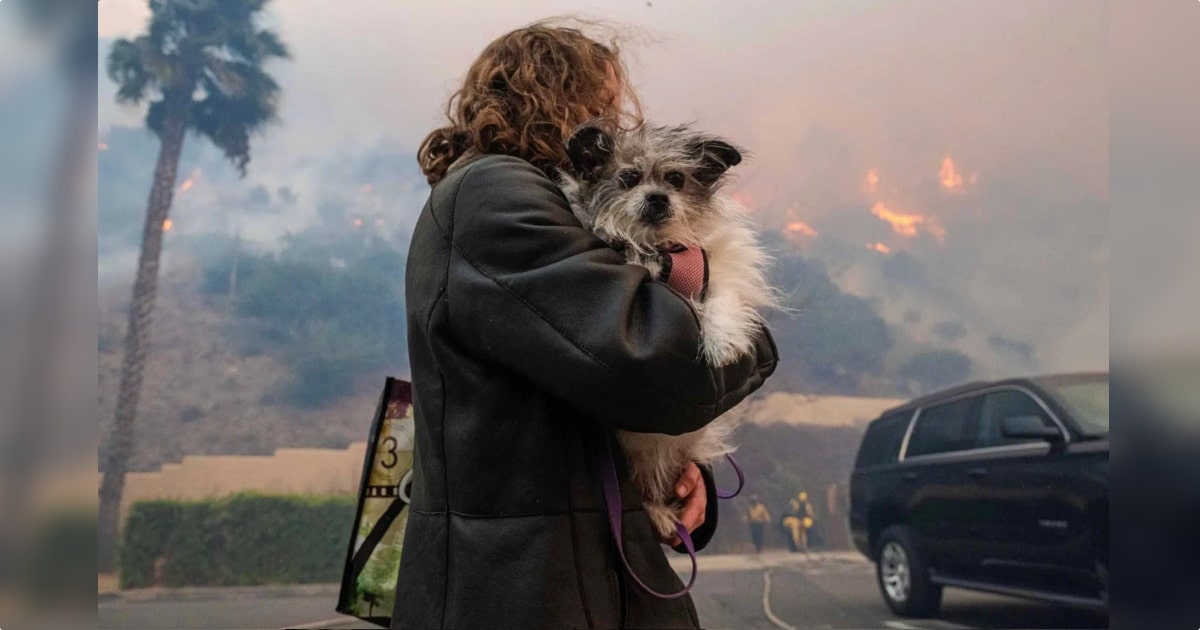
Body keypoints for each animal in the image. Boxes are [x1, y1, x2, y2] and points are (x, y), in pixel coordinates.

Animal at [554, 124, 772, 540]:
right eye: (628, 177)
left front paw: (723, 341)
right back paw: (657, 514)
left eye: (676, 179)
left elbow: (722, 298)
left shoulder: (715, 267)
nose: (657, 197)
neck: (660, 249)